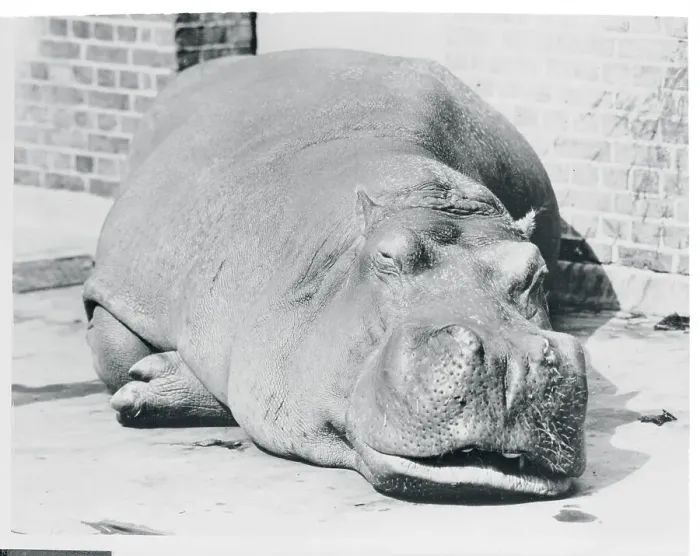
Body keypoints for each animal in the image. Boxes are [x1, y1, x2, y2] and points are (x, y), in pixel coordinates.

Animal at [83, 49, 588, 502]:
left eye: (536, 271)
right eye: (386, 256)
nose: (510, 357)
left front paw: (150, 381)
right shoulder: (124, 288)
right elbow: (115, 354)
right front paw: (143, 381)